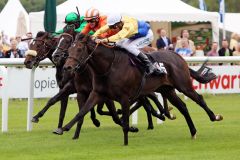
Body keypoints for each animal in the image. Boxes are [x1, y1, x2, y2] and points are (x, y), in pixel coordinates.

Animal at [62, 33, 223, 145]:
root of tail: (177, 54)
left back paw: (214, 117)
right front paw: (63, 129)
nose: (67, 67)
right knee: (183, 107)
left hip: (183, 85)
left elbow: (125, 121)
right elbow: (81, 112)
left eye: (80, 49)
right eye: (70, 49)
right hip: (167, 89)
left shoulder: (124, 98)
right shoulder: (97, 93)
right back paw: (193, 131)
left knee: (199, 99)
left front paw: (126, 142)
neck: (109, 66)